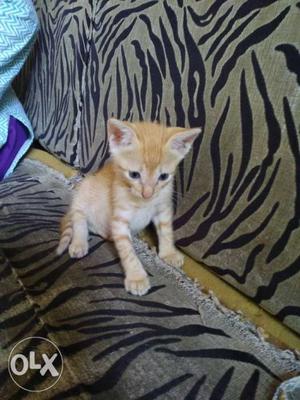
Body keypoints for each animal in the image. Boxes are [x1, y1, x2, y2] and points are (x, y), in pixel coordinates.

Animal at [56, 117, 202, 296]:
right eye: (134, 175)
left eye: (163, 176)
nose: (147, 194)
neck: (144, 202)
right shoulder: (119, 218)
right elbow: (127, 250)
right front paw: (137, 278)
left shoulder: (163, 208)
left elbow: (166, 231)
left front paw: (168, 253)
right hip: (83, 193)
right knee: (79, 219)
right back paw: (79, 243)